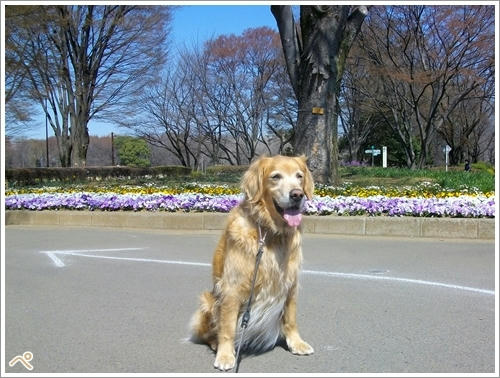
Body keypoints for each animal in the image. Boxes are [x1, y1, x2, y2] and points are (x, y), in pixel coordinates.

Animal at [189, 155, 314, 370]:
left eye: (299, 176)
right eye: (276, 176)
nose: (297, 195)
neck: (270, 233)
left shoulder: (290, 284)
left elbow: (291, 319)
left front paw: (296, 343)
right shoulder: (232, 287)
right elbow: (228, 326)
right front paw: (225, 355)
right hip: (208, 301)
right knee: (210, 332)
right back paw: (216, 344)